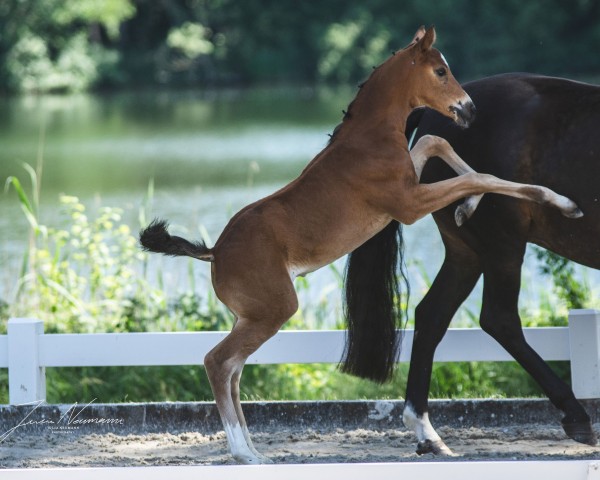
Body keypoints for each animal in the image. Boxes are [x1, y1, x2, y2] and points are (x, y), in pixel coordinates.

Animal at [346, 73, 600, 456]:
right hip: (501, 245)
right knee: (500, 320)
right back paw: (577, 417)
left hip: (465, 253)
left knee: (432, 315)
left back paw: (427, 433)